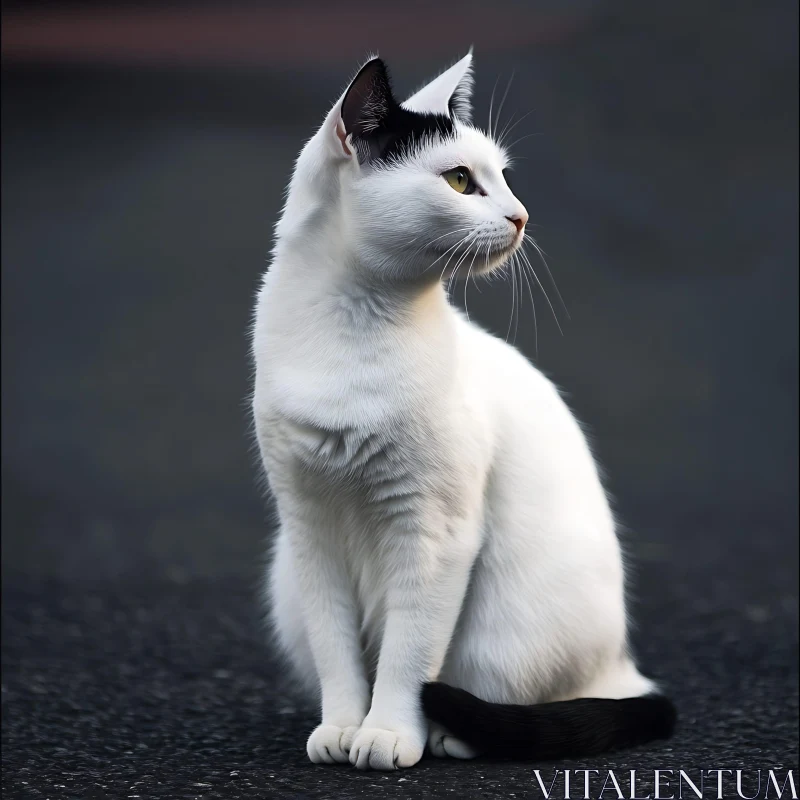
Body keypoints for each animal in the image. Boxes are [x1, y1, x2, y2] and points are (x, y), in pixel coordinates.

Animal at [252, 48, 676, 768]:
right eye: (457, 180)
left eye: (502, 177)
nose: (522, 215)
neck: (353, 328)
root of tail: (624, 667)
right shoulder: (308, 528)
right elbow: (339, 651)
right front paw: (343, 727)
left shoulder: (434, 531)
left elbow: (408, 655)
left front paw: (389, 733)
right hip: (285, 583)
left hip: (499, 636)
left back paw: (449, 734)